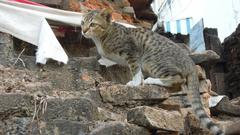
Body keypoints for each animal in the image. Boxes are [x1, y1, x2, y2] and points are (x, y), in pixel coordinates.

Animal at [80, 8, 223, 134]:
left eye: (93, 24)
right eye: (82, 23)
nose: (84, 31)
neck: (103, 36)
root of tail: (191, 63)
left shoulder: (132, 53)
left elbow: (135, 70)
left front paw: (135, 83)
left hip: (152, 61)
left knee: (177, 78)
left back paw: (152, 80)